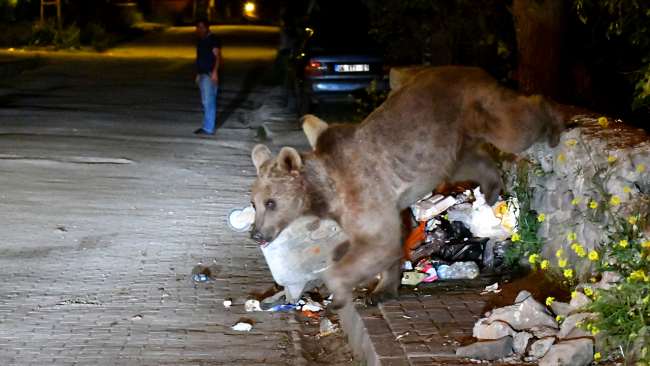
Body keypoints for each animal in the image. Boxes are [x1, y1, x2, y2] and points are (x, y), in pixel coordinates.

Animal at [248, 65, 560, 308]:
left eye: (271, 202)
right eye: (255, 202)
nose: (256, 234)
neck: (324, 194)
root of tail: (475, 68)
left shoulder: (363, 193)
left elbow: (380, 242)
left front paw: (340, 289)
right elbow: (388, 242)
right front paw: (380, 290)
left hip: (475, 106)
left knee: (514, 130)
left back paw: (554, 121)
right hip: (448, 146)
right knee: (471, 161)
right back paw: (492, 186)